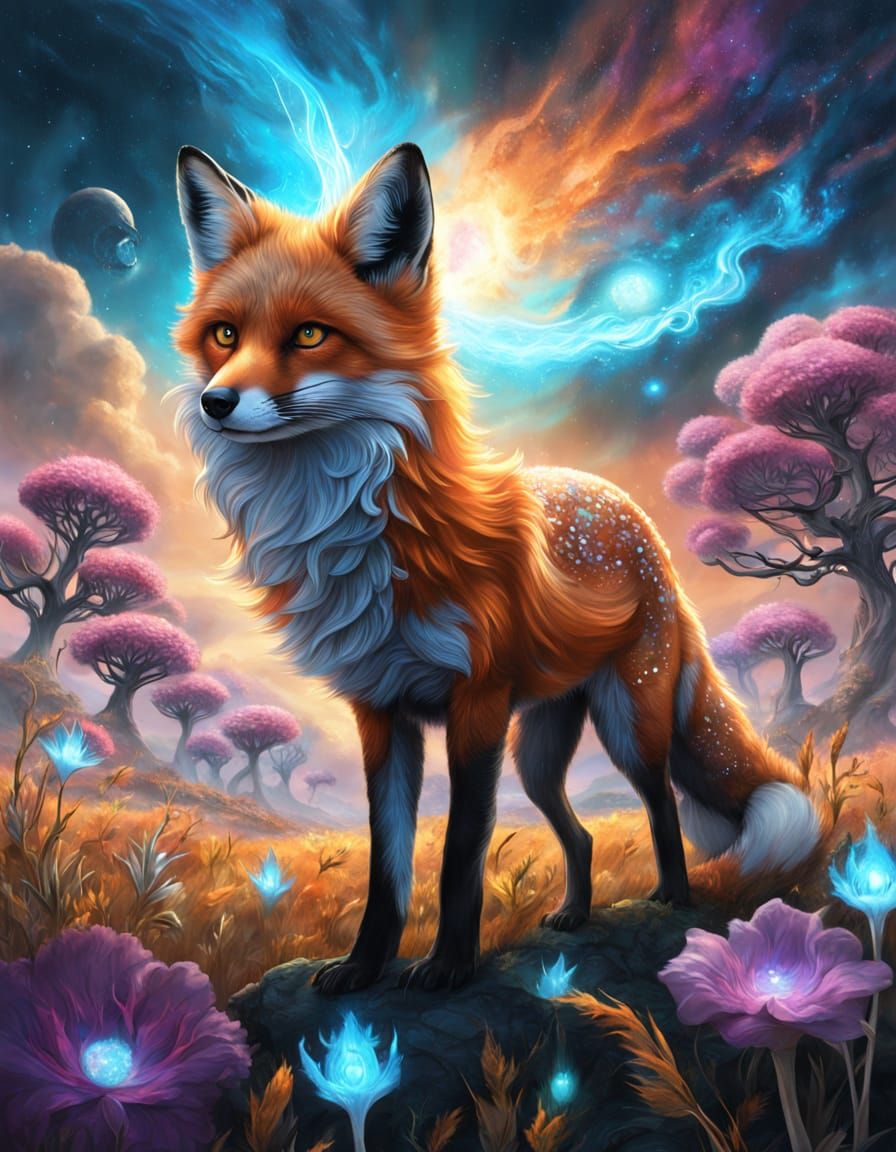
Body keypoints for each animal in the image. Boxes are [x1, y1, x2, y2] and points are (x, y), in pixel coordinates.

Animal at [173, 142, 821, 994]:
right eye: (224, 334)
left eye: (310, 335)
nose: (216, 402)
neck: (359, 535)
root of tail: (641, 525)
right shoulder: (380, 712)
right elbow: (387, 866)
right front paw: (364, 967)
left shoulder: (474, 706)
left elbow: (457, 860)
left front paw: (449, 967)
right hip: (540, 751)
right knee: (579, 836)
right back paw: (574, 913)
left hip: (627, 725)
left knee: (663, 808)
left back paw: (673, 901)